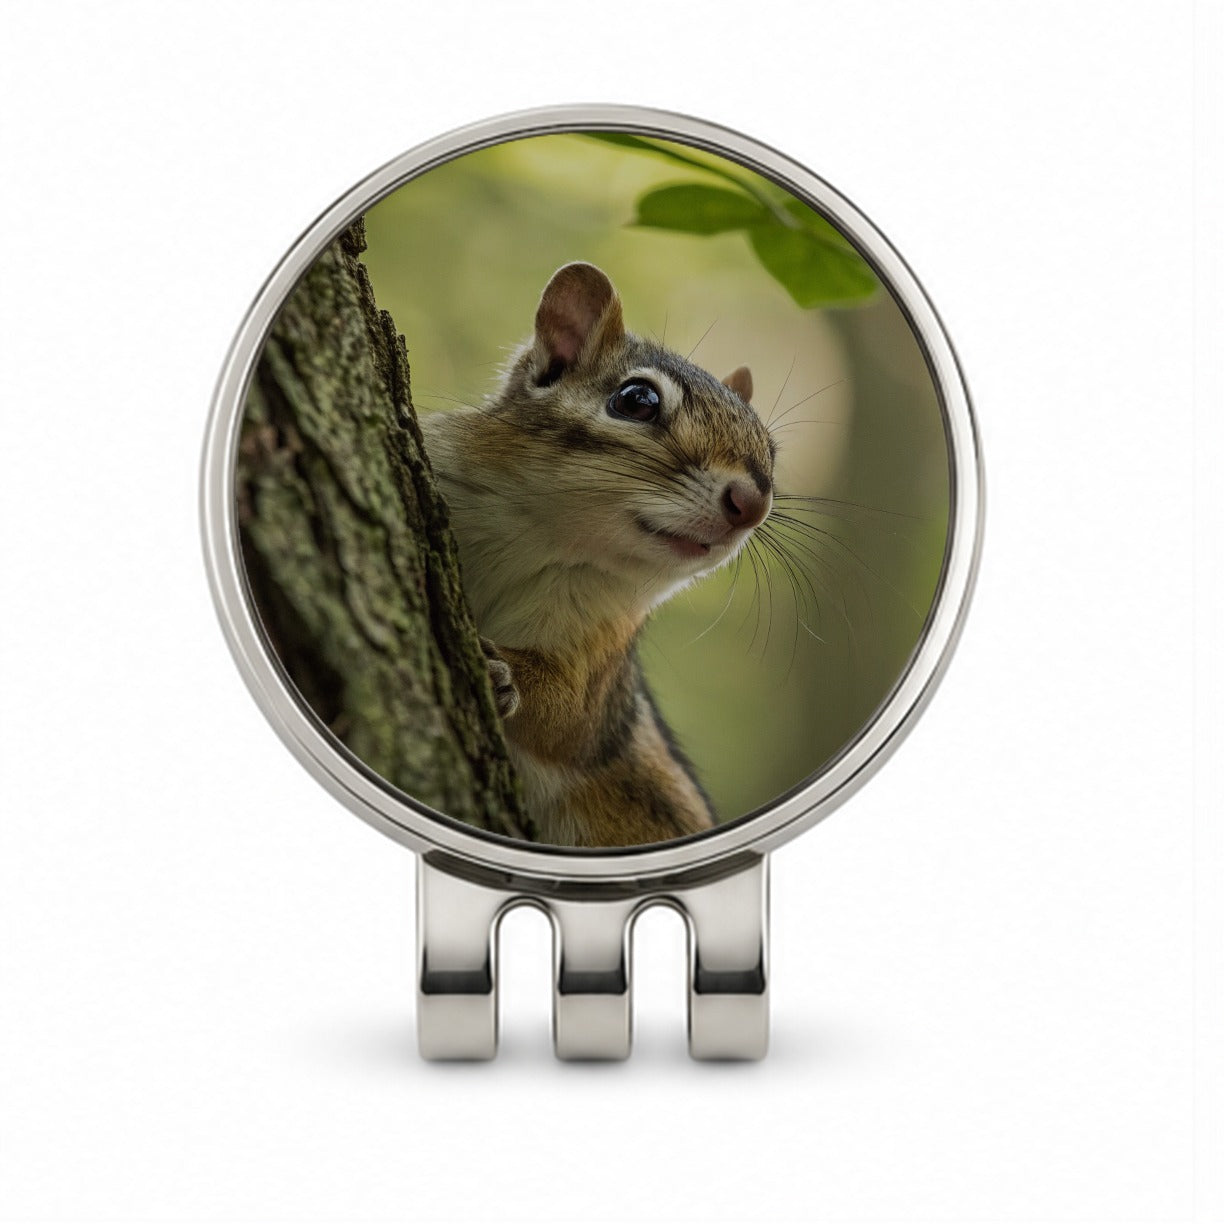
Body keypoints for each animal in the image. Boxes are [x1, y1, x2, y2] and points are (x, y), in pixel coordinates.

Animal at [421, 262, 775, 848]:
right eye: (636, 400)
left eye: (771, 448)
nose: (752, 505)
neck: (542, 535)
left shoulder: (601, 652)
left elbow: (569, 718)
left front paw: (506, 674)